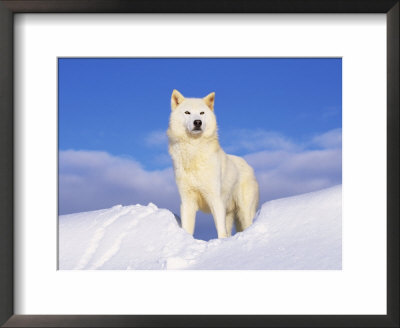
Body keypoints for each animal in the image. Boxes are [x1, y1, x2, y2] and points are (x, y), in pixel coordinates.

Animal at [166, 89, 258, 238]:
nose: (197, 122)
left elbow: (220, 231)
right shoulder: (187, 201)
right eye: (187, 112)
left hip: (244, 212)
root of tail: (248, 164)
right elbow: (188, 229)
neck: (194, 151)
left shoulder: (216, 199)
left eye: (202, 113)